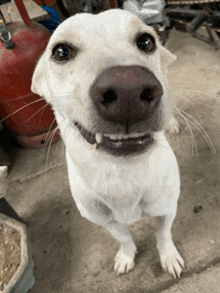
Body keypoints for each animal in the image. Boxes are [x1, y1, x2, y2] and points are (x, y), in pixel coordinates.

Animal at [31, 9, 184, 278]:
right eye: (61, 52)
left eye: (146, 42)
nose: (128, 89)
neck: (121, 175)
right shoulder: (106, 222)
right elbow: (124, 238)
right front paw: (126, 256)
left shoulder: (167, 209)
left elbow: (163, 234)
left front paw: (168, 256)